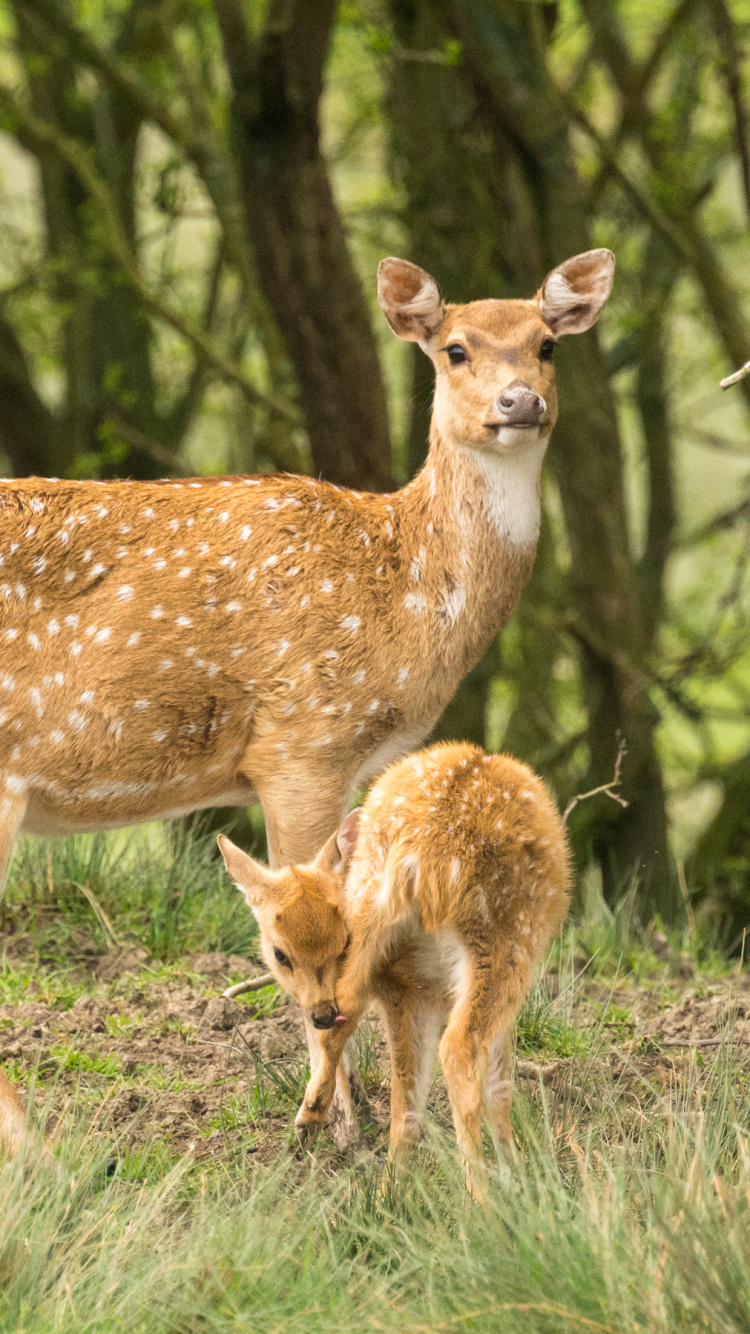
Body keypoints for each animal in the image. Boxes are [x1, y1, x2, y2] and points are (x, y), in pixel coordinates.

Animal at [218, 741, 568, 1200]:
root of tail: (422, 849)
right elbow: (500, 1083)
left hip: (384, 940)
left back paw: (347, 1157)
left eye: (339, 942)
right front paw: (517, 1175)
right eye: (280, 954)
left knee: (366, 1041)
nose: (318, 1012)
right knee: (459, 1049)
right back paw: (484, 1200)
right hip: (504, 938)